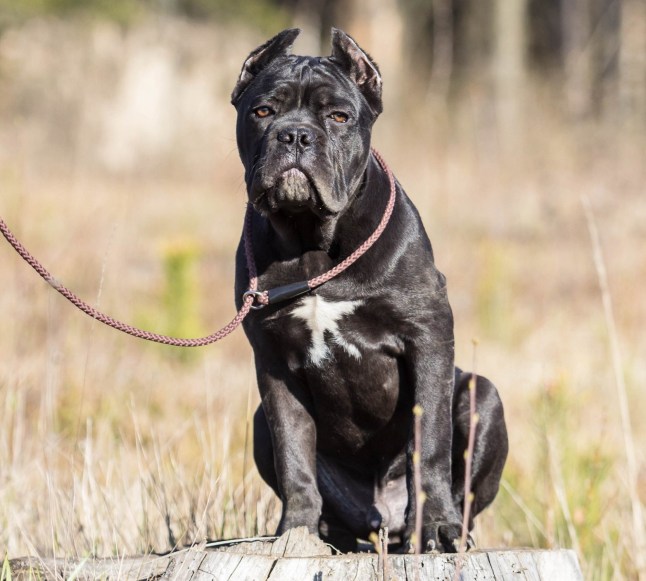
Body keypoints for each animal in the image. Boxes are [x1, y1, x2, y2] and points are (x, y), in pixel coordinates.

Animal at [233, 28, 512, 552]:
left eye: (339, 116)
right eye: (262, 111)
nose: (295, 134)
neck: (314, 244)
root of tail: (382, 517)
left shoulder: (427, 336)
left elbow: (431, 439)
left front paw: (437, 526)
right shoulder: (273, 362)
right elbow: (293, 451)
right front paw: (295, 532)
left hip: (483, 395)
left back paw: (442, 531)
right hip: (261, 423)